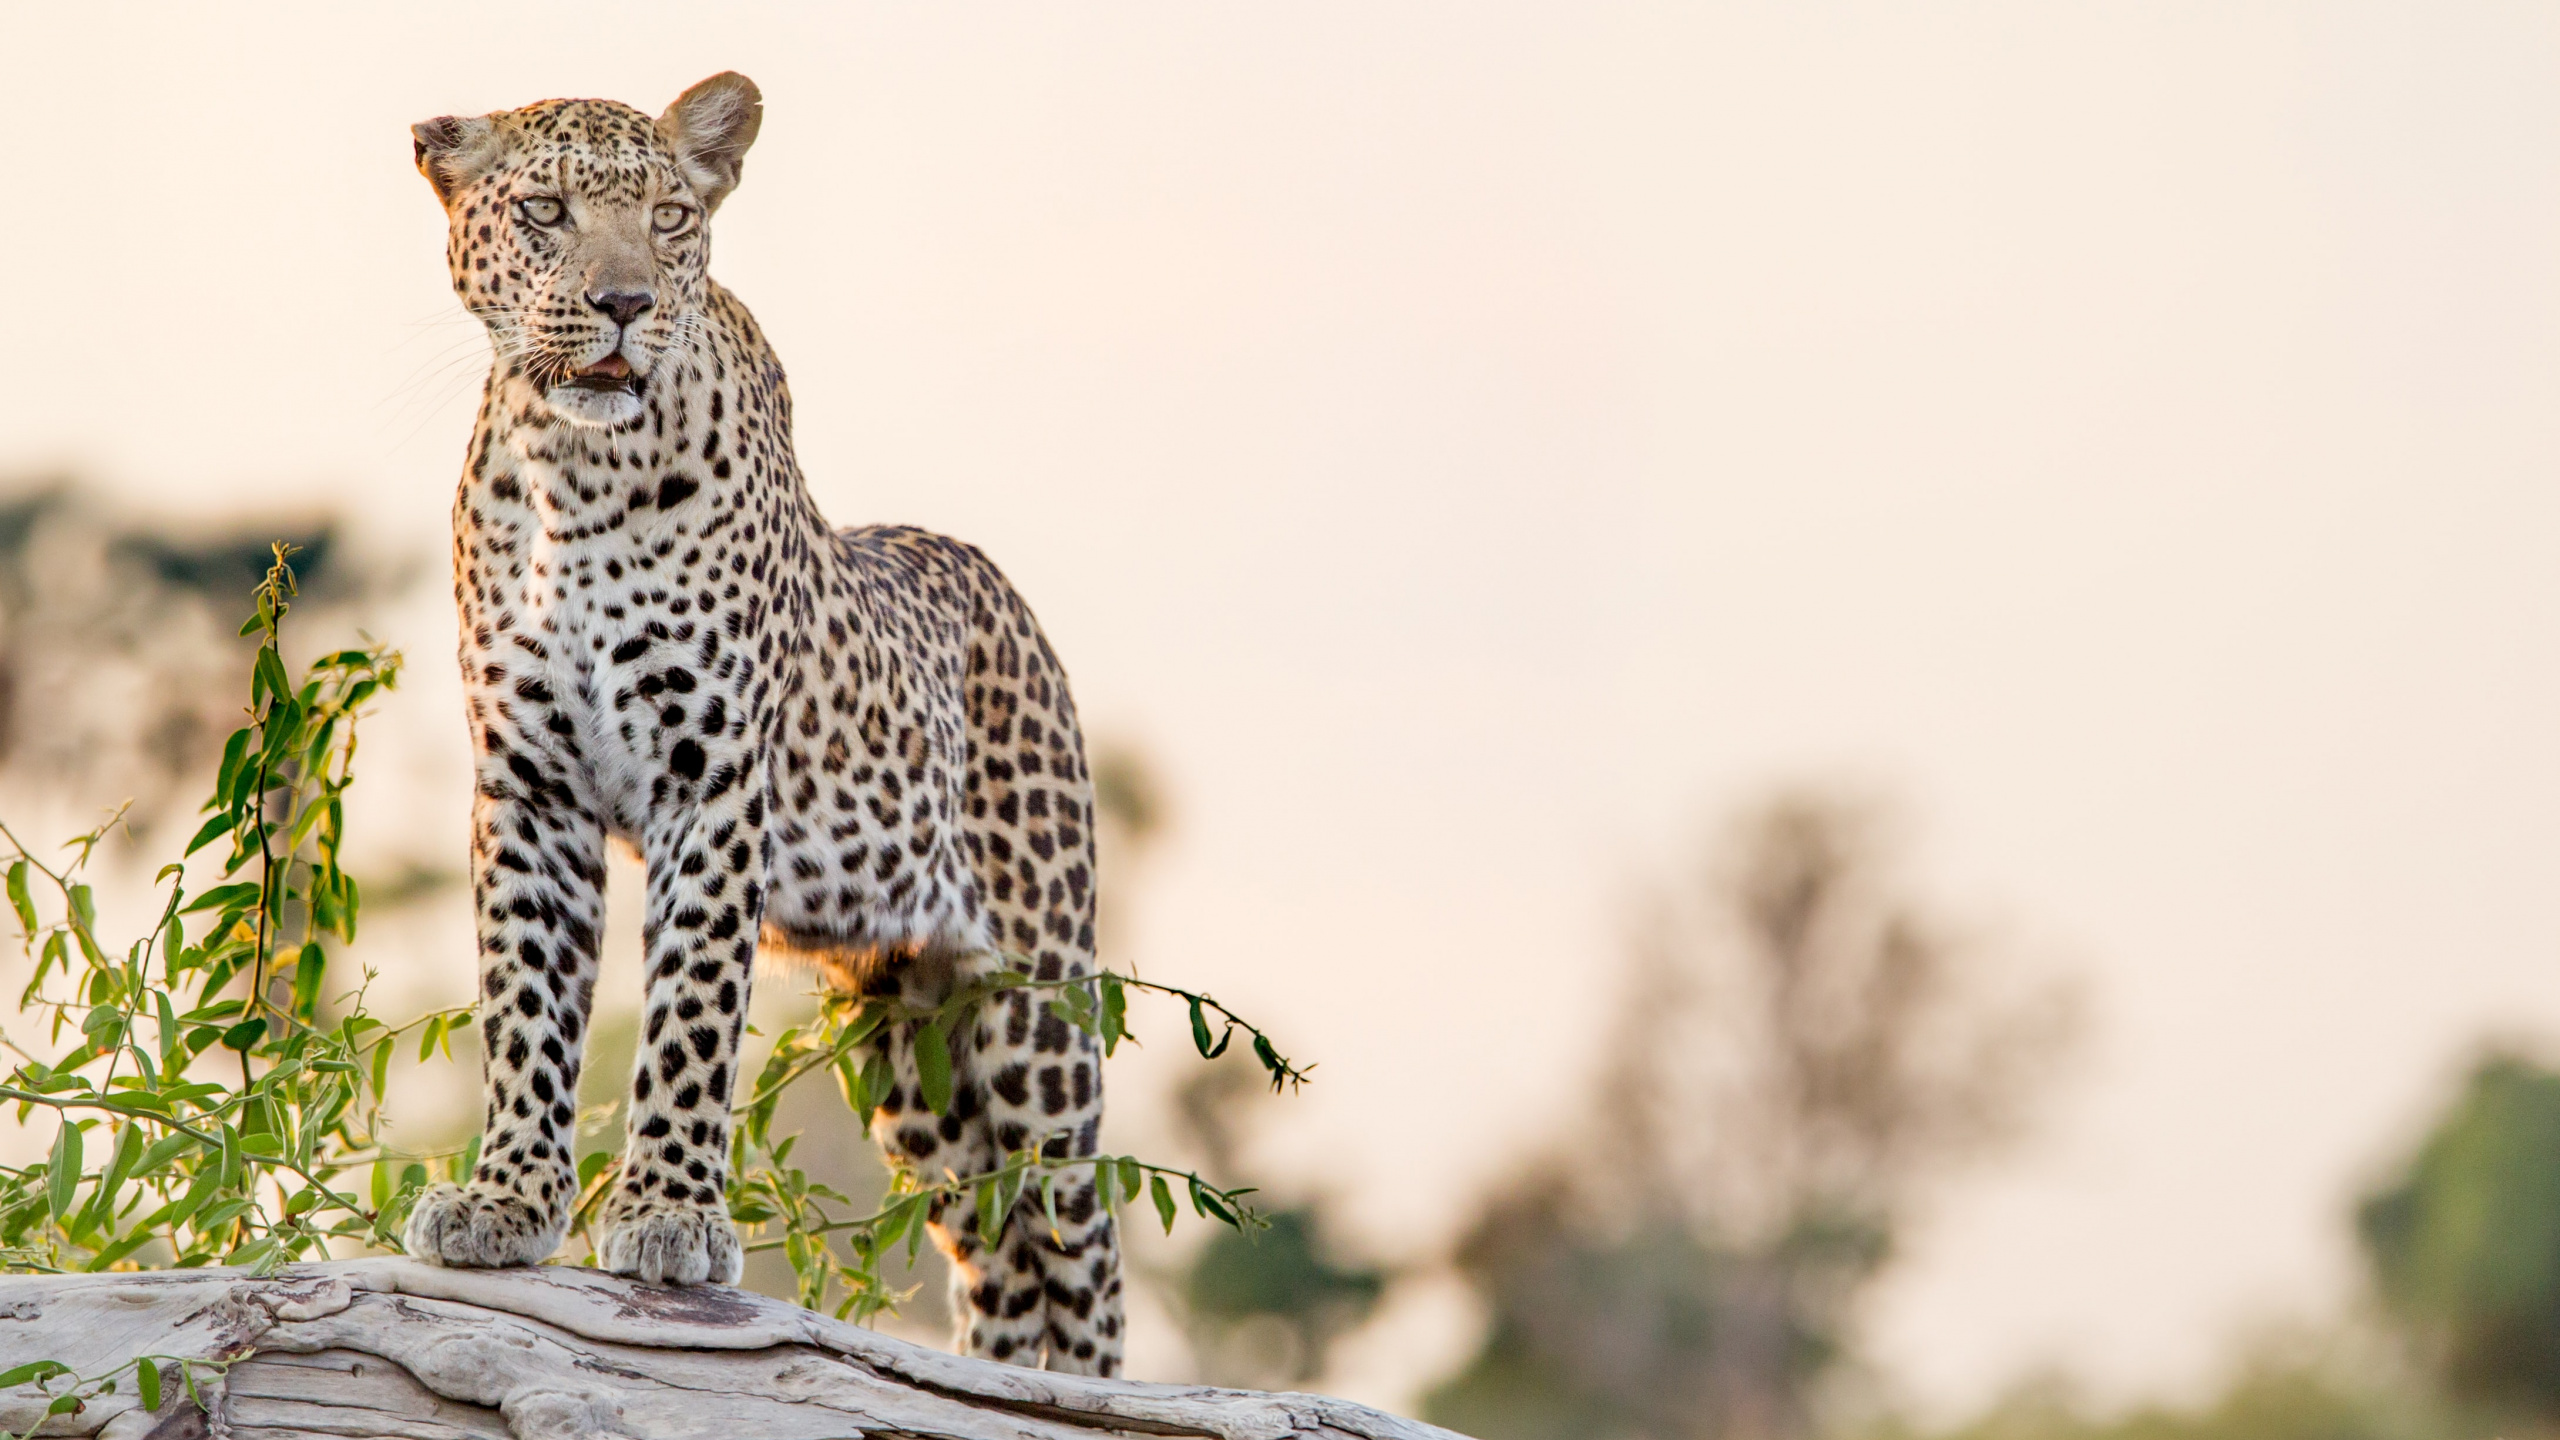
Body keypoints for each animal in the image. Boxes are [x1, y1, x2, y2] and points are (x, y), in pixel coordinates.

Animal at [398, 72, 1124, 1376]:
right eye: (544, 211)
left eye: (671, 218)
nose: (625, 303)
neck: (572, 472)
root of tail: (1009, 599)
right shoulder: (528, 789)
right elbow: (525, 1005)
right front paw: (507, 1201)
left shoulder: (712, 780)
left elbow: (689, 1009)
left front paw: (669, 1218)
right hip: (910, 1050)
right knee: (996, 1250)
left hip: (1035, 1010)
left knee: (1080, 1245)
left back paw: (1091, 1396)